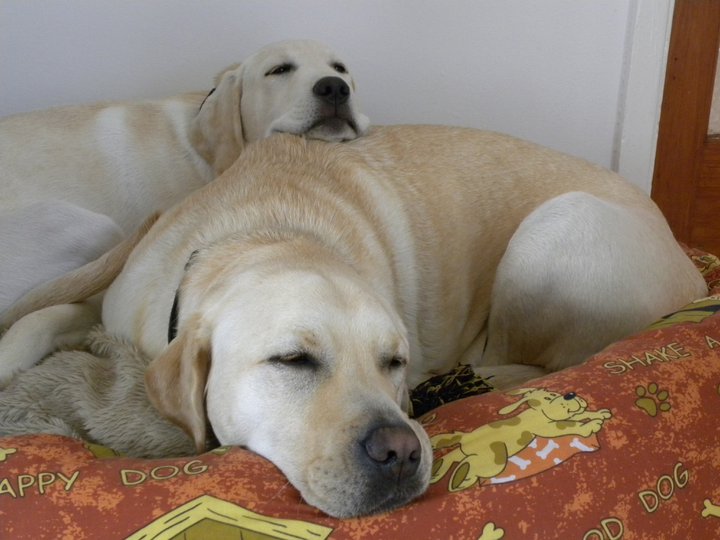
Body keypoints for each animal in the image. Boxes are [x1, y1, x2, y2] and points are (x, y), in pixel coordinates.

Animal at [0, 124, 704, 516]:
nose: (401, 450)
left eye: (392, 361)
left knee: (537, 362)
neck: (263, 229)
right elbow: (41, 316)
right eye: (293, 359)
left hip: (551, 231)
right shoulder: (114, 305)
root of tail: (693, 268)